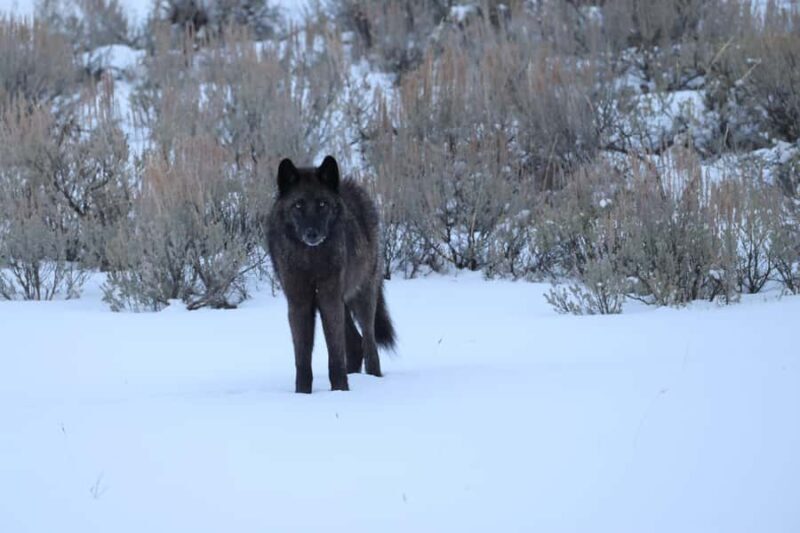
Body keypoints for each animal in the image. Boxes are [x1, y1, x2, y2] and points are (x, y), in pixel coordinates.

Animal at [267, 155, 396, 393]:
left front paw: (339, 391)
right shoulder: (299, 302)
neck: (311, 260)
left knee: (369, 343)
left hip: (361, 298)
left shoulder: (329, 299)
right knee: (355, 344)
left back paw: (374, 379)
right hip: (342, 303)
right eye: (298, 205)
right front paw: (302, 393)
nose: (312, 234)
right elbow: (302, 357)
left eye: (322, 204)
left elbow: (335, 353)